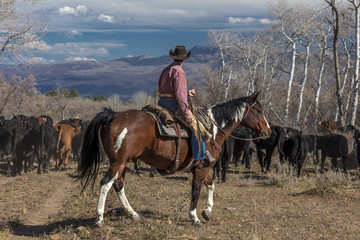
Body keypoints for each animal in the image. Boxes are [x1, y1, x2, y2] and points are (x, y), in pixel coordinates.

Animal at [77, 92, 272, 227]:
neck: (212, 129)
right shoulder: (201, 168)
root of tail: (112, 115)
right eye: (259, 110)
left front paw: (207, 211)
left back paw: (133, 214)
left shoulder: (203, 167)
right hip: (118, 162)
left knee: (118, 185)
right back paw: (100, 218)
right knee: (106, 183)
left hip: (122, 163)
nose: (268, 130)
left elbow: (211, 185)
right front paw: (194, 217)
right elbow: (196, 191)